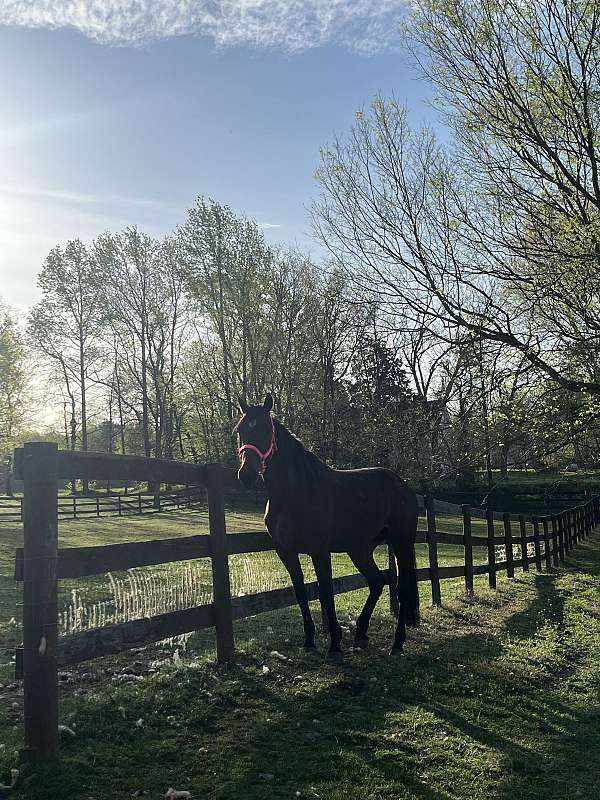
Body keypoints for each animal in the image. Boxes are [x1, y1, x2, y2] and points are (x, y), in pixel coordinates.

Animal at [235, 393, 420, 656]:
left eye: (265, 428)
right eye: (240, 430)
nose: (246, 475)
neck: (294, 493)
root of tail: (404, 487)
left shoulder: (320, 551)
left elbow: (325, 593)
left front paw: (334, 644)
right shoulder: (286, 552)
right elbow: (301, 592)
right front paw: (309, 641)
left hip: (401, 543)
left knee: (401, 589)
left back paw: (397, 643)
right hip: (360, 549)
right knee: (377, 582)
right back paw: (361, 634)